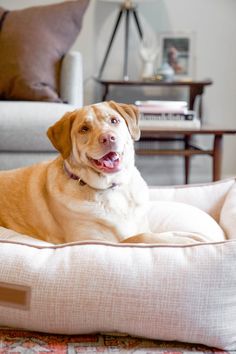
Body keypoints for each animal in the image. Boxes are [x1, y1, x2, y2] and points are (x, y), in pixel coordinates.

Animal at [0, 99, 153, 243]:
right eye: (84, 129)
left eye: (114, 120)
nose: (108, 138)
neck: (110, 187)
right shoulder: (91, 240)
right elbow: (141, 237)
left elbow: (143, 234)